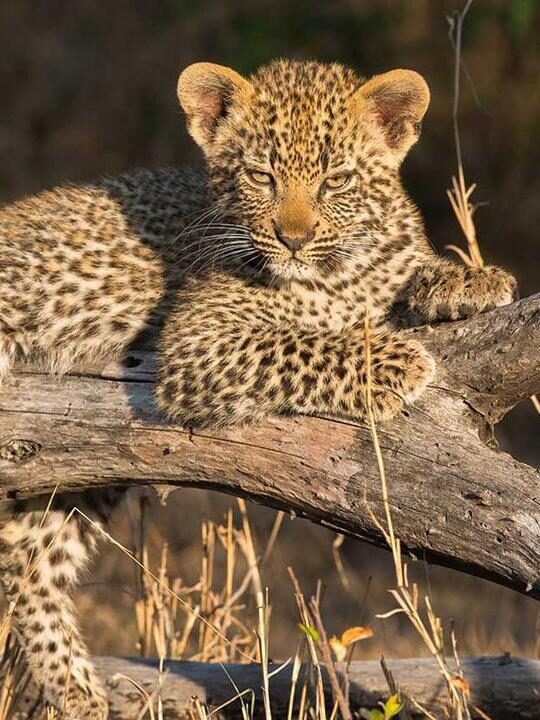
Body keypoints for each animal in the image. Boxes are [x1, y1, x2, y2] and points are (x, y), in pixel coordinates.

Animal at [0, 59, 516, 718]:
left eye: (336, 180)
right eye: (261, 176)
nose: (294, 238)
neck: (339, 274)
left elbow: (409, 269)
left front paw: (471, 280)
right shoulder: (200, 340)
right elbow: (296, 342)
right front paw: (393, 360)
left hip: (74, 473)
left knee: (28, 564)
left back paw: (80, 695)